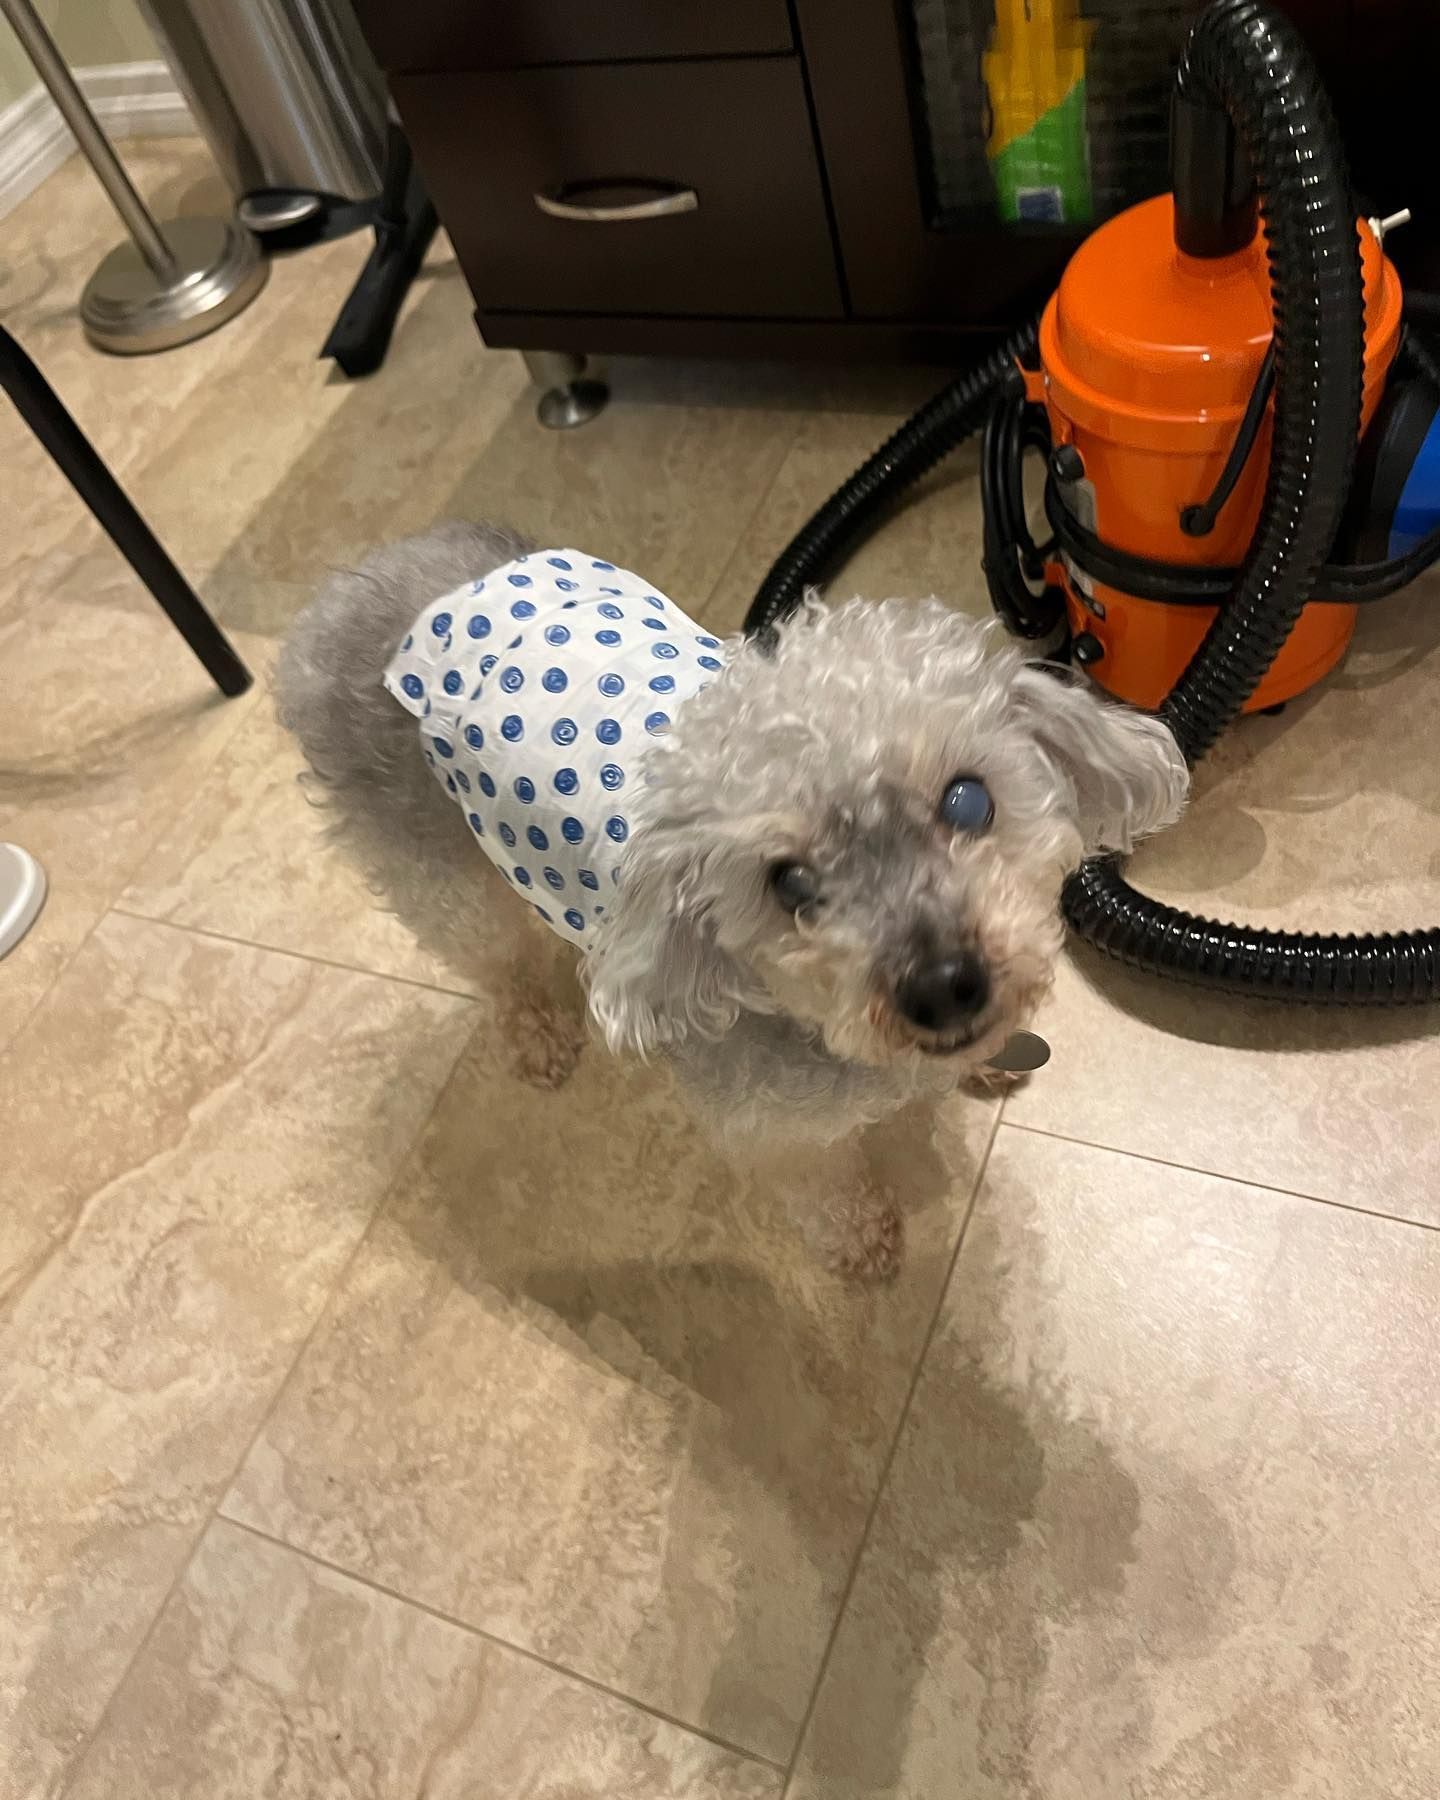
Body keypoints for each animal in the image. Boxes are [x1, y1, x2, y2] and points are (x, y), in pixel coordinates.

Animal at [277, 521, 1188, 1276]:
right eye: (788, 884)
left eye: (968, 801)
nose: (944, 988)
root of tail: (342, 592)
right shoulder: (777, 1133)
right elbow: (826, 1192)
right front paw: (863, 1244)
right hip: (441, 880)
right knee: (494, 965)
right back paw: (535, 1034)